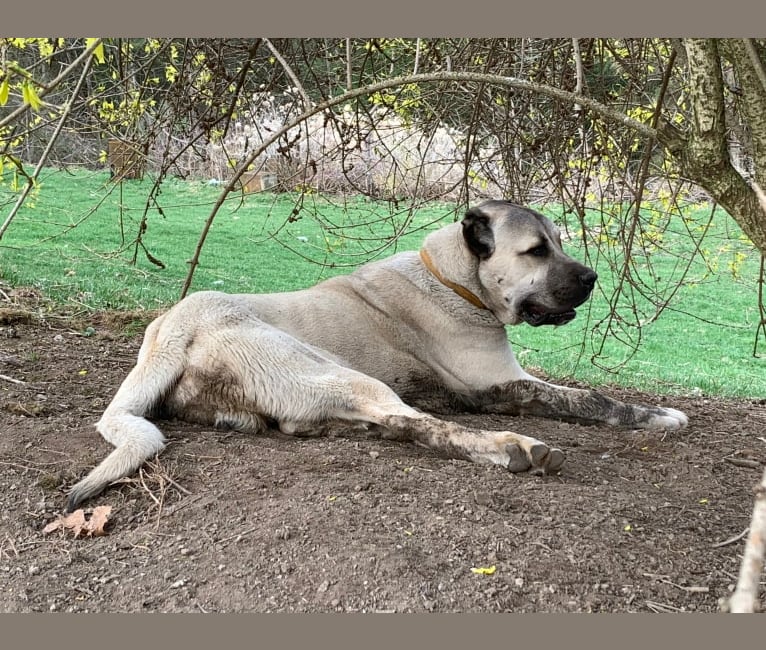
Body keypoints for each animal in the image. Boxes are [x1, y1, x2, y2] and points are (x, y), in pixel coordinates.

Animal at [67, 200, 688, 508]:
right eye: (536, 250)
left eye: (559, 243)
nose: (591, 278)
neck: (456, 279)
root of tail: (175, 326)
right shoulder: (498, 385)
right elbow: (591, 398)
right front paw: (659, 415)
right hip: (343, 374)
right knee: (428, 424)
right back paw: (511, 448)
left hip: (314, 395)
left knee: (398, 425)